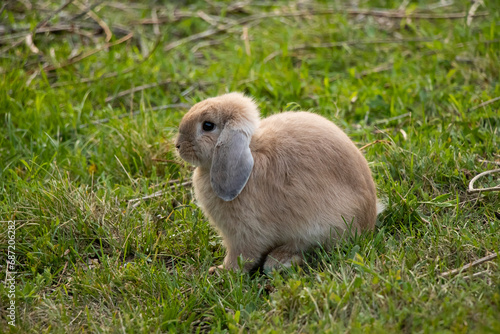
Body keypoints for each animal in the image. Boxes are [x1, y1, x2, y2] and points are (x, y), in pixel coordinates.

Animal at [174, 92, 380, 272]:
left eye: (208, 125)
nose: (178, 145)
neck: (252, 150)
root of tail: (368, 219)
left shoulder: (245, 232)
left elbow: (242, 256)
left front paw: (221, 271)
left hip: (322, 224)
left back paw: (278, 261)